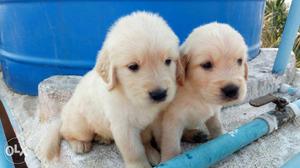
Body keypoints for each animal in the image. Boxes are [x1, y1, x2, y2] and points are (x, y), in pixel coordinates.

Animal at [39, 11, 180, 167]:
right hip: (80, 125)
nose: (159, 94)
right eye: (133, 66)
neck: (131, 98)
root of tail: (63, 114)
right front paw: (141, 164)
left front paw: (151, 153)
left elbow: (146, 140)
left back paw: (103, 138)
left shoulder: (151, 121)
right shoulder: (124, 127)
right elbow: (134, 152)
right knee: (66, 132)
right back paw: (79, 144)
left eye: (168, 61)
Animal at [157, 22, 248, 161]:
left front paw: (222, 138)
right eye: (206, 64)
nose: (232, 89)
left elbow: (216, 126)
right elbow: (171, 145)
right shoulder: (172, 119)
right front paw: (169, 160)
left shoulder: (214, 111)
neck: (198, 93)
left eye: (239, 61)